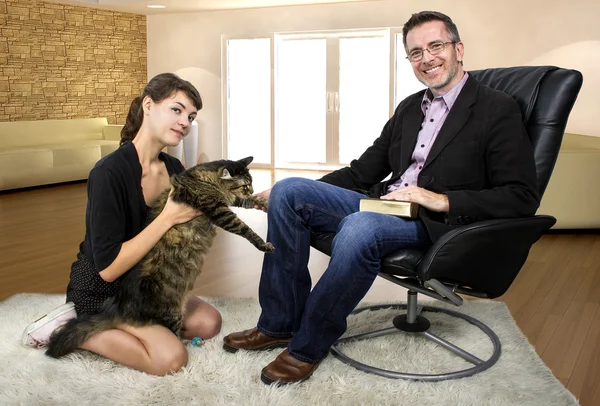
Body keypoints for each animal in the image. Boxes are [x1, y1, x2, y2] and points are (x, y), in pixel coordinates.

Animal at [47, 155, 272, 358]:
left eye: (251, 184)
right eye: (245, 185)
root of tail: (119, 304)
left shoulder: (228, 202)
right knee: (173, 338)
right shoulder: (219, 211)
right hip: (171, 314)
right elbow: (246, 229)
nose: (252, 189)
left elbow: (249, 202)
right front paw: (263, 244)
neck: (203, 178)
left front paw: (264, 201)